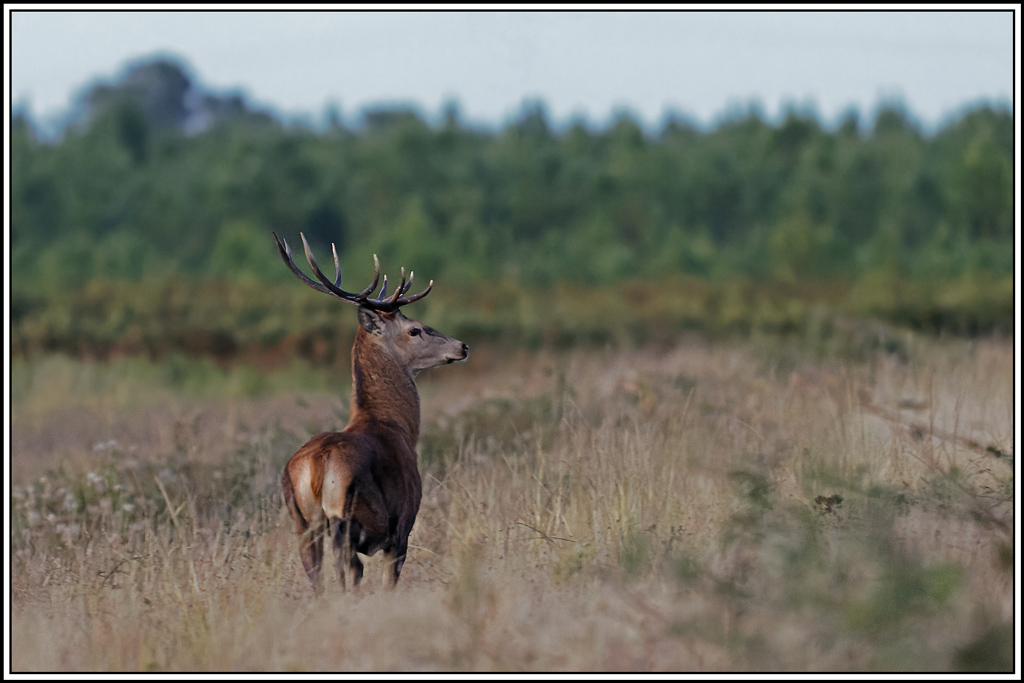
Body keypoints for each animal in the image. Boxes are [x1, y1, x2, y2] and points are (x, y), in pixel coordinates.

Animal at [272, 232, 468, 591]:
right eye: (415, 329)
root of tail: (316, 466)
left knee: (318, 579)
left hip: (302, 521)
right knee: (345, 574)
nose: (462, 346)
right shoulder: (401, 526)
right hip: (342, 515)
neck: (398, 428)